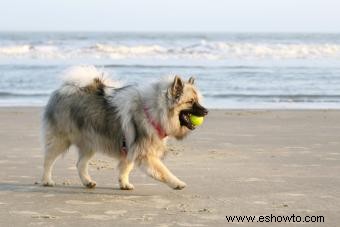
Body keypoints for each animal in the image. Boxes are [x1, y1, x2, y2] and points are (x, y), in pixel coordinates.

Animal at [41, 66, 209, 190]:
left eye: (198, 101)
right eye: (191, 102)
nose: (206, 111)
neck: (152, 111)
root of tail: (65, 88)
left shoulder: (131, 148)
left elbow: (126, 167)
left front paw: (124, 183)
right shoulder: (144, 152)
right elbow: (163, 170)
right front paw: (177, 183)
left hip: (90, 141)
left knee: (80, 164)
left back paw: (88, 182)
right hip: (61, 140)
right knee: (48, 160)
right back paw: (46, 180)